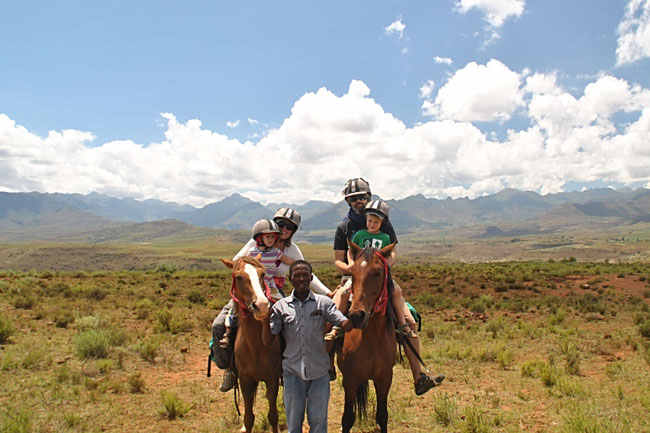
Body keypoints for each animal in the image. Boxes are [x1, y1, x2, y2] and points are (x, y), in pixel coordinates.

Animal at [220, 256, 280, 432]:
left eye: (262, 274)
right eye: (239, 277)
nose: (261, 305)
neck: (255, 346)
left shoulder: (272, 379)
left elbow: (273, 416)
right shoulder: (245, 380)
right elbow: (248, 418)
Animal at [336, 241, 398, 432]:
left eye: (377, 272)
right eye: (352, 273)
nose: (357, 316)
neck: (371, 338)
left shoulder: (385, 378)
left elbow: (382, 416)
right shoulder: (350, 379)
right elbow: (347, 418)